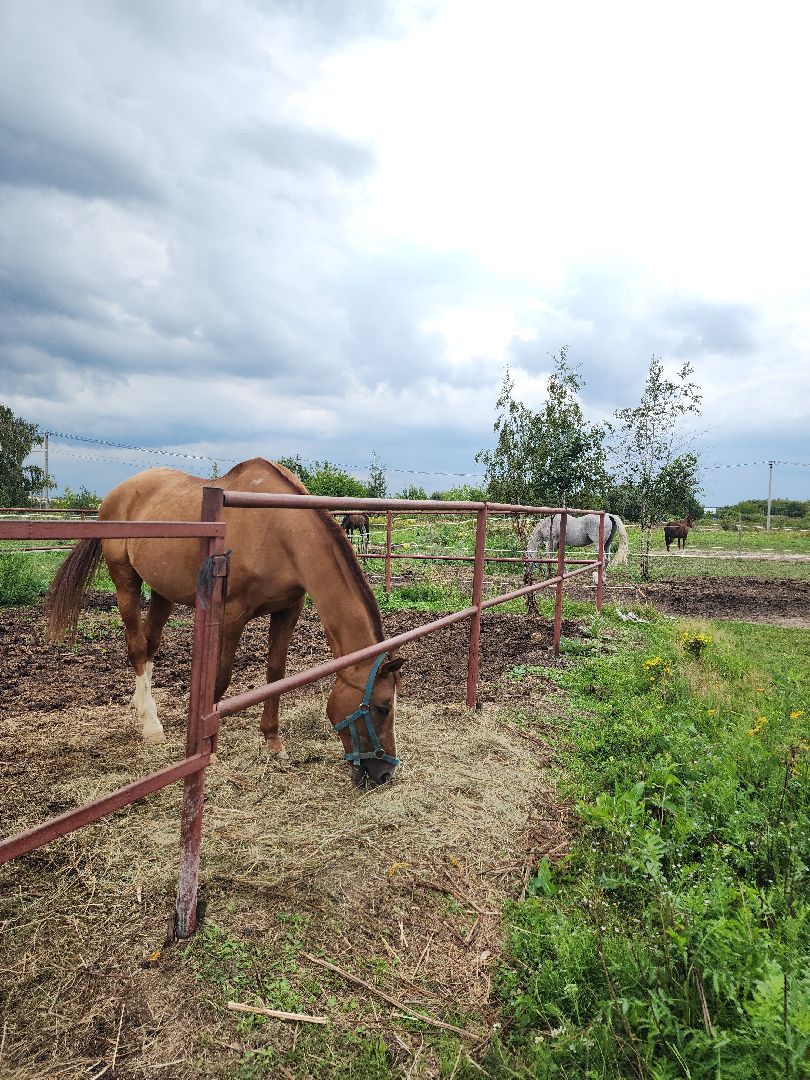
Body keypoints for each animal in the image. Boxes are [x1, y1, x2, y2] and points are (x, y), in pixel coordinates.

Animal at [46, 458, 404, 786]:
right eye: (382, 707)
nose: (384, 773)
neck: (279, 530)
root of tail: (115, 494)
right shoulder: (232, 617)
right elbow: (221, 677)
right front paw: (209, 752)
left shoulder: (288, 611)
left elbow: (275, 673)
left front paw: (274, 743)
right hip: (124, 580)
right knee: (136, 647)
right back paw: (151, 726)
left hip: (163, 591)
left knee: (150, 644)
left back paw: (141, 705)